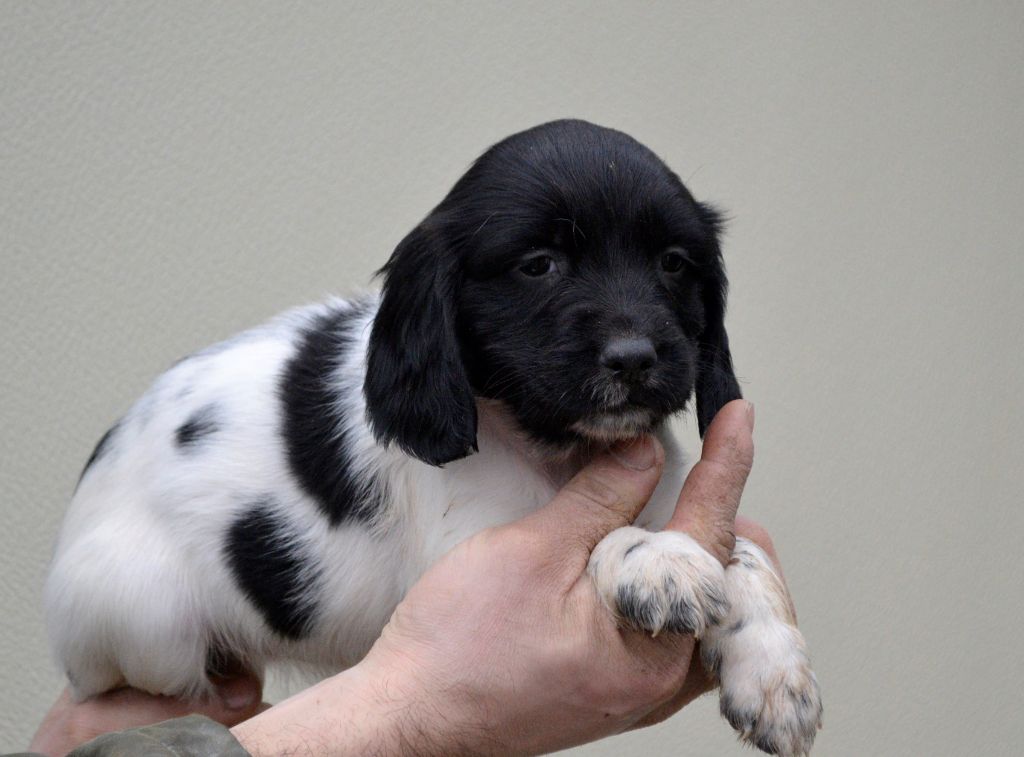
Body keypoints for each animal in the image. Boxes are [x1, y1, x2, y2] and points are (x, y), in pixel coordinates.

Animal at [46, 120, 821, 755]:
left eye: (673, 263)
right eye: (538, 264)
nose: (634, 358)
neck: (555, 449)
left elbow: (743, 552)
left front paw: (775, 673)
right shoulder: (476, 545)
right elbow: (609, 537)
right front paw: (657, 563)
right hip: (147, 619)